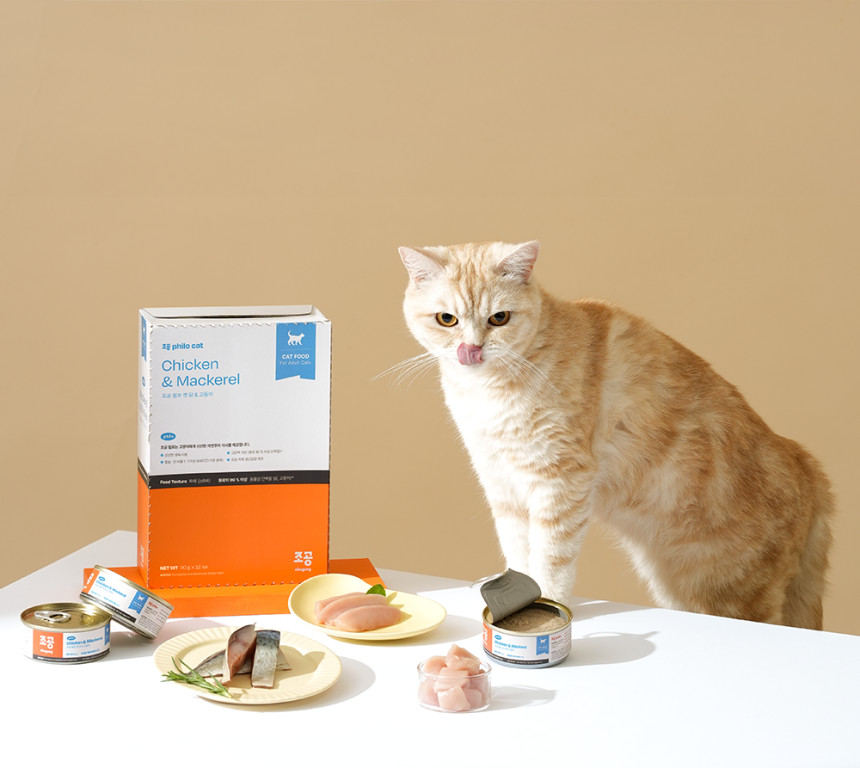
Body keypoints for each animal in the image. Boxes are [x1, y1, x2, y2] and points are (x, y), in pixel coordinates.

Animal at [397, 240, 834, 629]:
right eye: (447, 319)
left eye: (499, 318)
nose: (471, 349)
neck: (488, 393)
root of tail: (808, 467)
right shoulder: (503, 485)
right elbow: (518, 553)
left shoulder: (561, 480)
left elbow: (550, 558)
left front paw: (544, 603)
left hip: (730, 594)